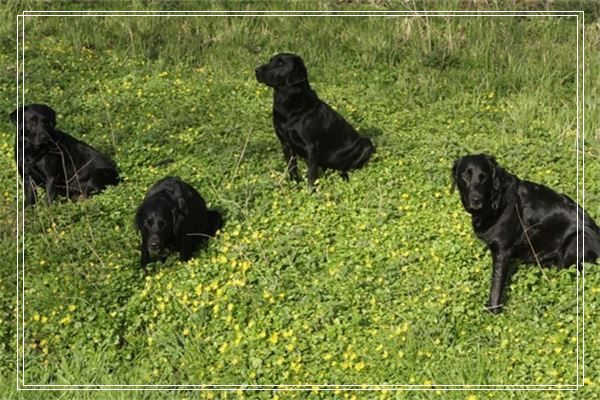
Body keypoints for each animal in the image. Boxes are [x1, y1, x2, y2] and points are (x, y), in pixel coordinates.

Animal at [254, 52, 376, 188]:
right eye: (270, 60)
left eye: (281, 63)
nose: (256, 70)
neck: (289, 107)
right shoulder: (286, 144)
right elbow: (292, 168)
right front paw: (296, 186)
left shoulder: (311, 146)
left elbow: (311, 174)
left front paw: (311, 190)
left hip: (366, 144)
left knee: (347, 168)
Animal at [452, 155, 596, 314]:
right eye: (465, 176)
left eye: (484, 177)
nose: (476, 200)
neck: (496, 200)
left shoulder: (503, 250)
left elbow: (496, 285)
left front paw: (492, 311)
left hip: (578, 239)